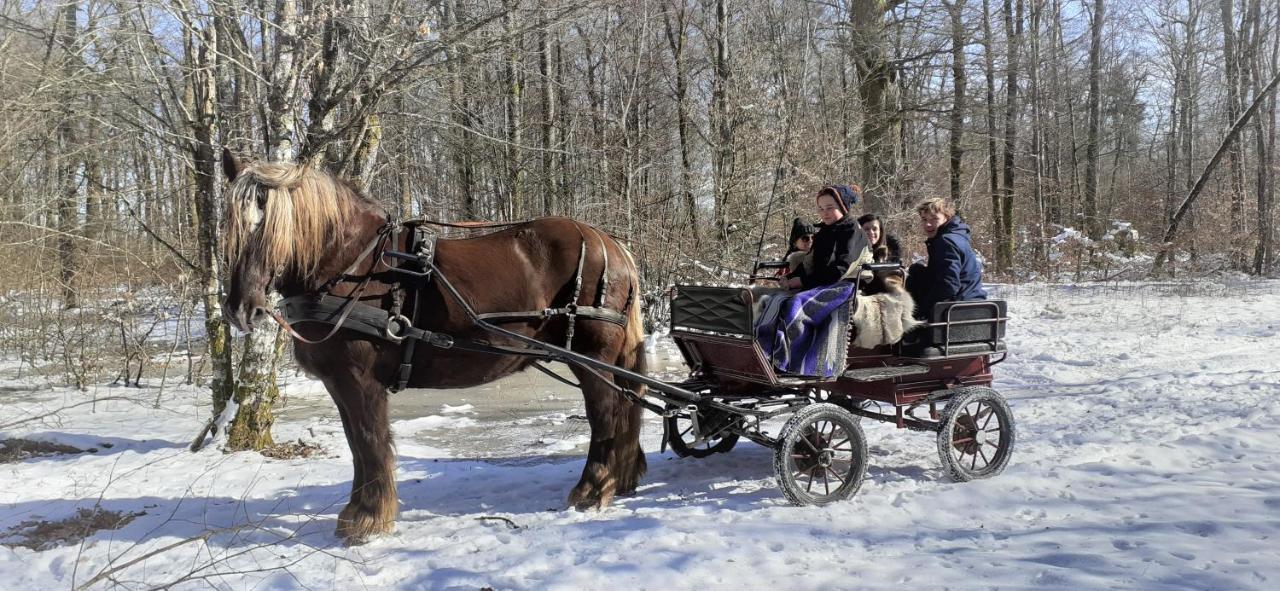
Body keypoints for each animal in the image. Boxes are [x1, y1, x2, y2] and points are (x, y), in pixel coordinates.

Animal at [218, 149, 650, 544]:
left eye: (270, 227)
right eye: (232, 227)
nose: (241, 309)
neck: (352, 265)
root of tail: (610, 243)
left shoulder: (359, 381)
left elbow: (370, 441)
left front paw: (368, 519)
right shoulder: (339, 384)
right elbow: (356, 444)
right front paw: (359, 513)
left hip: (593, 358)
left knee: (606, 414)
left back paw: (594, 489)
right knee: (625, 407)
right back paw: (621, 478)